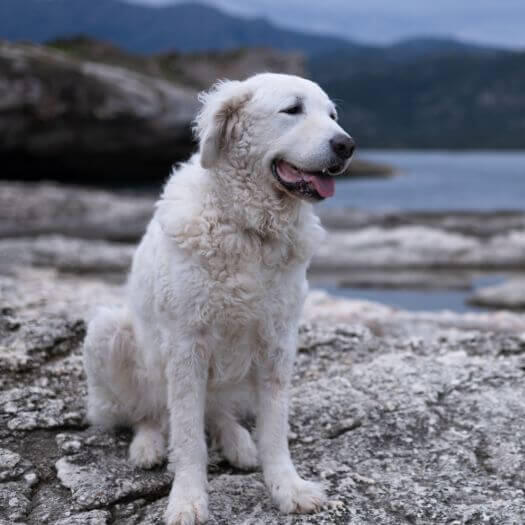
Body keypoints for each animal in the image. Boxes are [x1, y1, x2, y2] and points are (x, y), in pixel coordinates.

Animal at [84, 72, 354, 524]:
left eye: (332, 116)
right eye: (292, 109)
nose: (346, 145)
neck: (249, 229)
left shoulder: (277, 343)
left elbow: (275, 430)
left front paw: (287, 488)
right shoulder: (186, 346)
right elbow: (189, 437)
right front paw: (187, 499)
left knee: (218, 411)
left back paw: (238, 442)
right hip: (109, 332)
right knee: (148, 413)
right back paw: (148, 445)